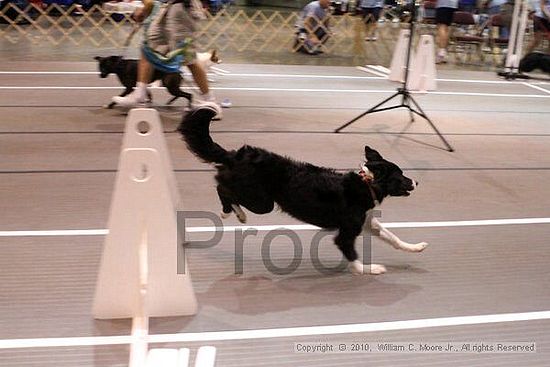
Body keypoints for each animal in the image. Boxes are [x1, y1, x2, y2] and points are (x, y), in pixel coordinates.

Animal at [179, 103, 430, 276]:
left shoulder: (368, 222)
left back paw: (237, 213)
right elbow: (353, 255)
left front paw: (415, 247)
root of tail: (234, 155)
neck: (367, 184)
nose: (417, 182)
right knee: (222, 186)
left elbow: (392, 237)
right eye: (401, 176)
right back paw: (231, 213)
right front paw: (369, 269)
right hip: (261, 202)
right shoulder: (347, 232)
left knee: (225, 187)